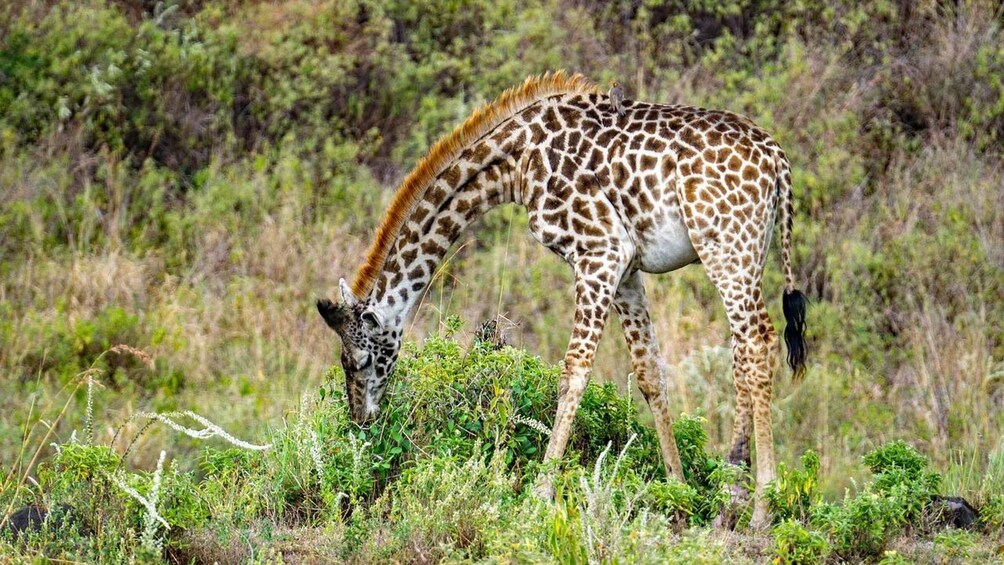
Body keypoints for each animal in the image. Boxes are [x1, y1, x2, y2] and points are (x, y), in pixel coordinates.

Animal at [316, 71, 808, 528]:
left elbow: (573, 372)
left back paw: (757, 508)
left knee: (757, 342)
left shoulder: (599, 251)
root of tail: (778, 159)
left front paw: (539, 494)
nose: (361, 421)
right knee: (741, 351)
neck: (516, 163)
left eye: (360, 361)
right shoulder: (626, 268)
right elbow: (649, 373)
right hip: (746, 252)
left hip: (726, 248)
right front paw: (677, 494)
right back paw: (730, 500)